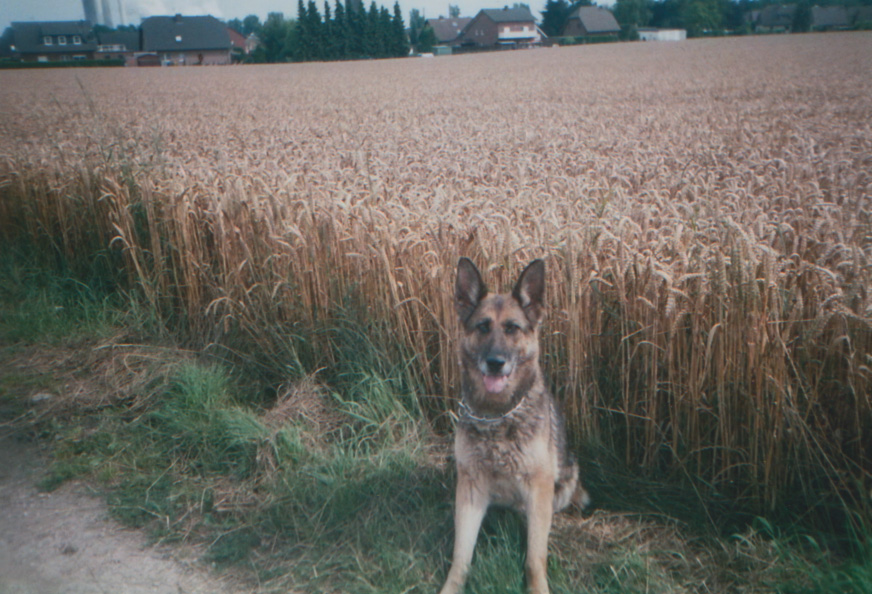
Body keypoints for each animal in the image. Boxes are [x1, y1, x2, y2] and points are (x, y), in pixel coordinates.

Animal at [440, 258, 588, 592]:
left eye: (512, 329)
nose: (495, 363)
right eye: (483, 327)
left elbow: (534, 559)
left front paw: (538, 588)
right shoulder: (470, 489)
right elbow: (460, 558)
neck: (498, 414)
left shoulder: (538, 488)